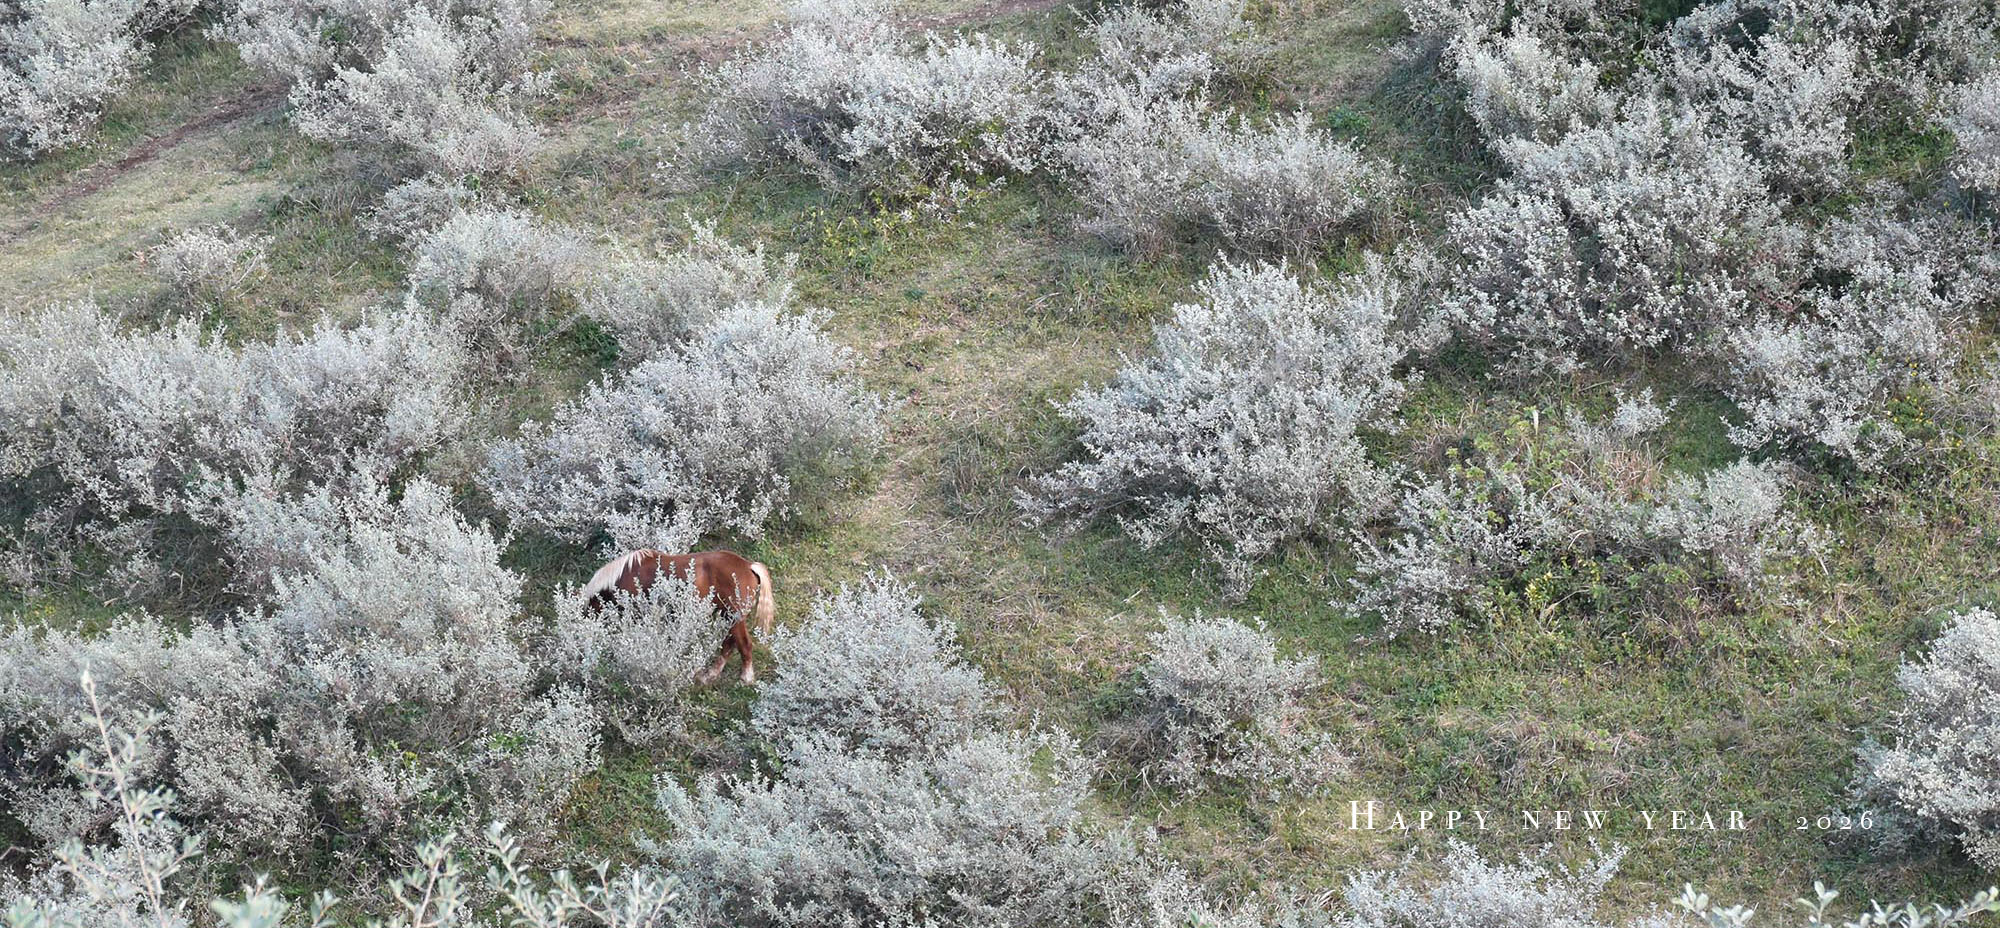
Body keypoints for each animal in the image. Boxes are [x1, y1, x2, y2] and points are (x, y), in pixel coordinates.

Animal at [580, 548, 775, 684]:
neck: (625, 575)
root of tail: (749, 565)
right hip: (726, 616)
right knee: (728, 644)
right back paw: (709, 676)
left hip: (734, 616)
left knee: (744, 644)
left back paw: (746, 678)